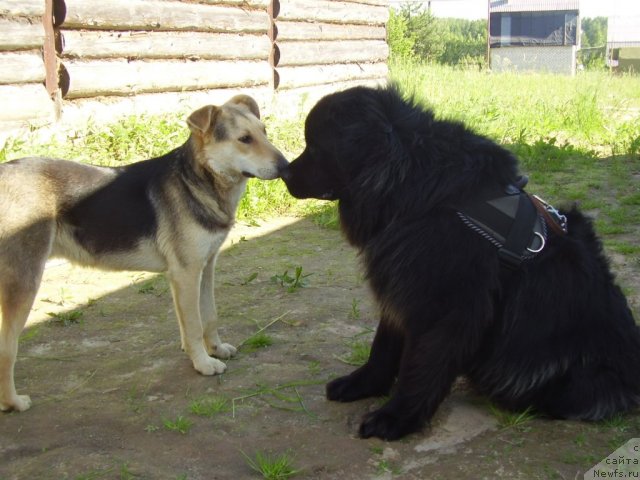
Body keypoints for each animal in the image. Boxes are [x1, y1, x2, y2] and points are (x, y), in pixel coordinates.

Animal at [0, 94, 288, 412]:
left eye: (264, 132)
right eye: (245, 139)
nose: (287, 166)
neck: (197, 181)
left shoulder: (205, 268)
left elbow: (208, 316)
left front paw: (214, 349)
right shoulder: (186, 274)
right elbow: (194, 323)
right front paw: (202, 363)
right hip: (24, 283)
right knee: (7, 349)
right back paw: (13, 402)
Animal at [282, 85, 640, 438]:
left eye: (315, 147)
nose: (284, 172)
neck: (414, 184)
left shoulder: (446, 307)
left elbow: (420, 367)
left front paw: (396, 418)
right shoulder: (403, 288)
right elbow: (383, 347)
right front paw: (363, 385)